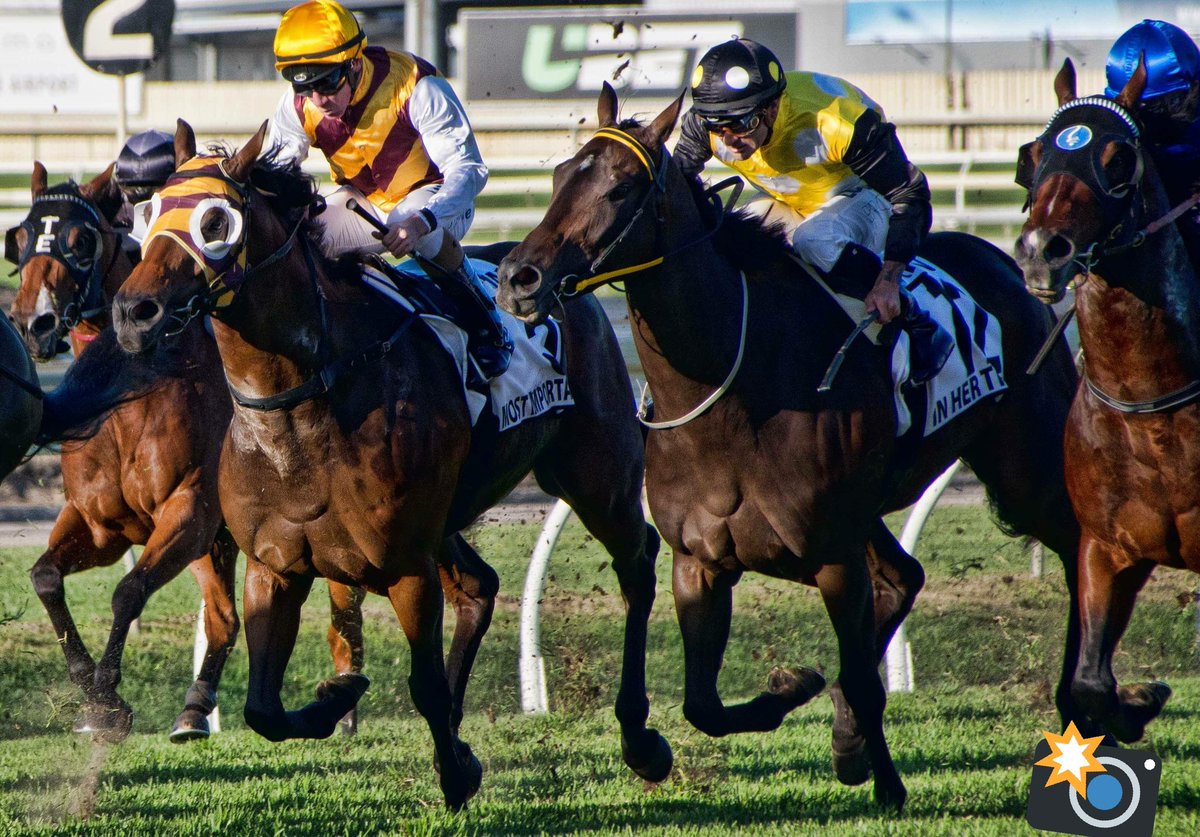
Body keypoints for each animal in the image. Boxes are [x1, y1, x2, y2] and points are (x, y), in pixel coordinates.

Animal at [7, 163, 367, 741]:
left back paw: (346, 698)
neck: (135, 396)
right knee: (224, 617)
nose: (32, 323)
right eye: (20, 237)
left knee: (344, 604)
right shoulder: (101, 525)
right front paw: (94, 696)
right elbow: (45, 578)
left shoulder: (190, 512)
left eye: (80, 240)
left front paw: (108, 697)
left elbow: (128, 591)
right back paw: (197, 708)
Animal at [108, 120, 667, 809]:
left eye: (216, 222)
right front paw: (341, 696)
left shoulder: (404, 566)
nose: (133, 312)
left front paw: (455, 772)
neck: (303, 404)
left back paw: (641, 739)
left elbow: (421, 684)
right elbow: (262, 709)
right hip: (449, 519)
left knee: (636, 562)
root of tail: (570, 288)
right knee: (479, 585)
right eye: (149, 210)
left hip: (596, 477)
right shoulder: (275, 566)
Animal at [496, 84, 1084, 810]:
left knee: (1076, 545)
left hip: (1023, 463)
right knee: (903, 576)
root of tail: (1004, 260)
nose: (518, 277)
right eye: (558, 178)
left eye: (621, 187)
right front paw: (794, 691)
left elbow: (857, 674)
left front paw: (887, 785)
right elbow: (702, 704)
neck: (735, 390)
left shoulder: (831, 555)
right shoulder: (702, 561)